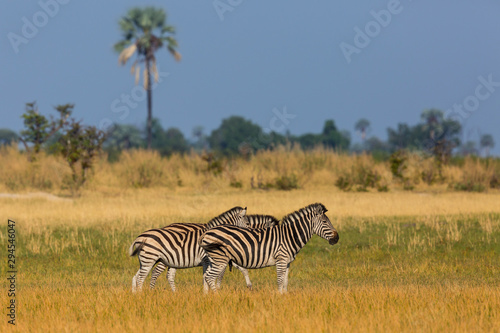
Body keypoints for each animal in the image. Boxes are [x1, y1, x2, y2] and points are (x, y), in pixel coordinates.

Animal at [128, 206, 278, 292]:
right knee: (150, 275)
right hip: (156, 259)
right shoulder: (211, 258)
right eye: (246, 223)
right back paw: (149, 293)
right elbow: (213, 275)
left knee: (140, 276)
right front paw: (215, 290)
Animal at [200, 201, 340, 292]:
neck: (290, 236)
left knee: (206, 276)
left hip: (214, 259)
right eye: (324, 222)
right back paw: (217, 297)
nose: (337, 238)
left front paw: (285, 298)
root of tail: (206, 233)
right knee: (210, 277)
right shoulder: (281, 259)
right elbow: (279, 281)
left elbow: (285, 282)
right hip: (220, 259)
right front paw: (279, 299)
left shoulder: (287, 262)